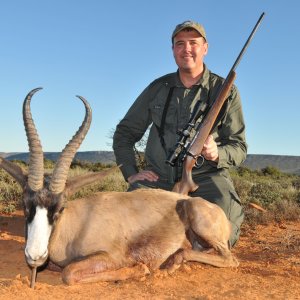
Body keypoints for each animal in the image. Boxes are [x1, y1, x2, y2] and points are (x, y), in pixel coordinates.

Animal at [0, 88, 239, 286]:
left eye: (59, 209)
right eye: (25, 205)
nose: (35, 256)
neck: (76, 223)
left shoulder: (110, 257)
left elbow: (68, 273)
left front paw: (140, 269)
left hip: (200, 221)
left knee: (231, 259)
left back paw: (173, 261)